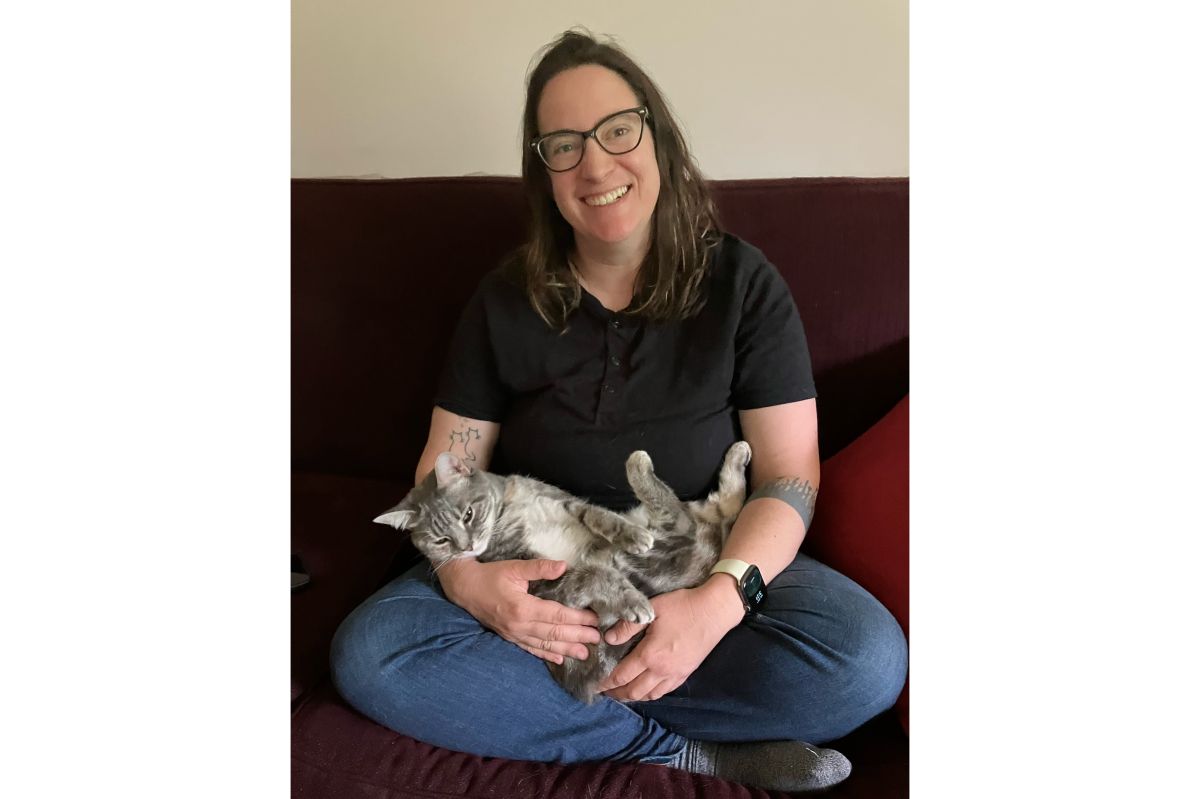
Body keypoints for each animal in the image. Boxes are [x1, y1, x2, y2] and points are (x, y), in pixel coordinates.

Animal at [374, 439, 748, 700]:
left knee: (719, 504)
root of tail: (709, 546)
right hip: (664, 538)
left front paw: (629, 534)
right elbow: (592, 574)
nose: (467, 548)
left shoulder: (564, 502)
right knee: (695, 507)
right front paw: (633, 602)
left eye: (467, 514)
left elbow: (597, 514)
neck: (509, 510)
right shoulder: (538, 577)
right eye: (440, 540)